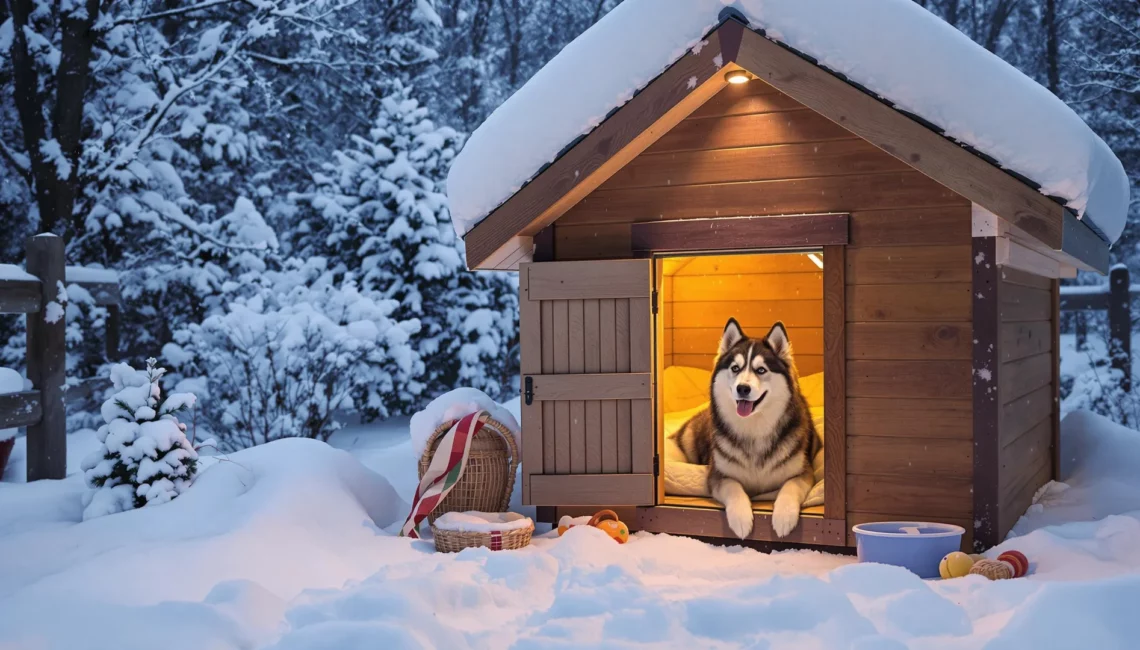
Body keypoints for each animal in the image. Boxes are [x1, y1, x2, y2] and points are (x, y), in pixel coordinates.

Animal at [665, 317, 820, 535]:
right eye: (735, 368)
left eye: (761, 370)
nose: (742, 388)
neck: (754, 429)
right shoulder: (718, 475)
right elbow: (734, 487)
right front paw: (741, 518)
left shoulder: (804, 472)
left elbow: (790, 486)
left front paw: (784, 516)